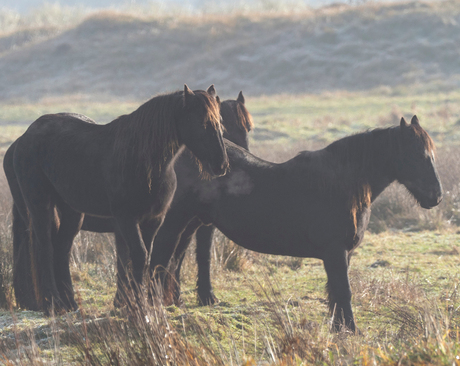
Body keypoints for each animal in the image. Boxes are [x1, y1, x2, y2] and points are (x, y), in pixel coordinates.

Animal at [6, 91, 252, 312]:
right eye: (201, 124)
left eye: (221, 126)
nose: (222, 165)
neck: (145, 161)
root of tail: (23, 139)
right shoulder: (126, 220)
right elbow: (138, 257)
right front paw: (136, 305)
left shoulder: (154, 220)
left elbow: (148, 259)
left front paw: (140, 303)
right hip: (39, 206)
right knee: (44, 248)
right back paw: (51, 304)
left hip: (72, 213)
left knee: (61, 249)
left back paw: (69, 304)